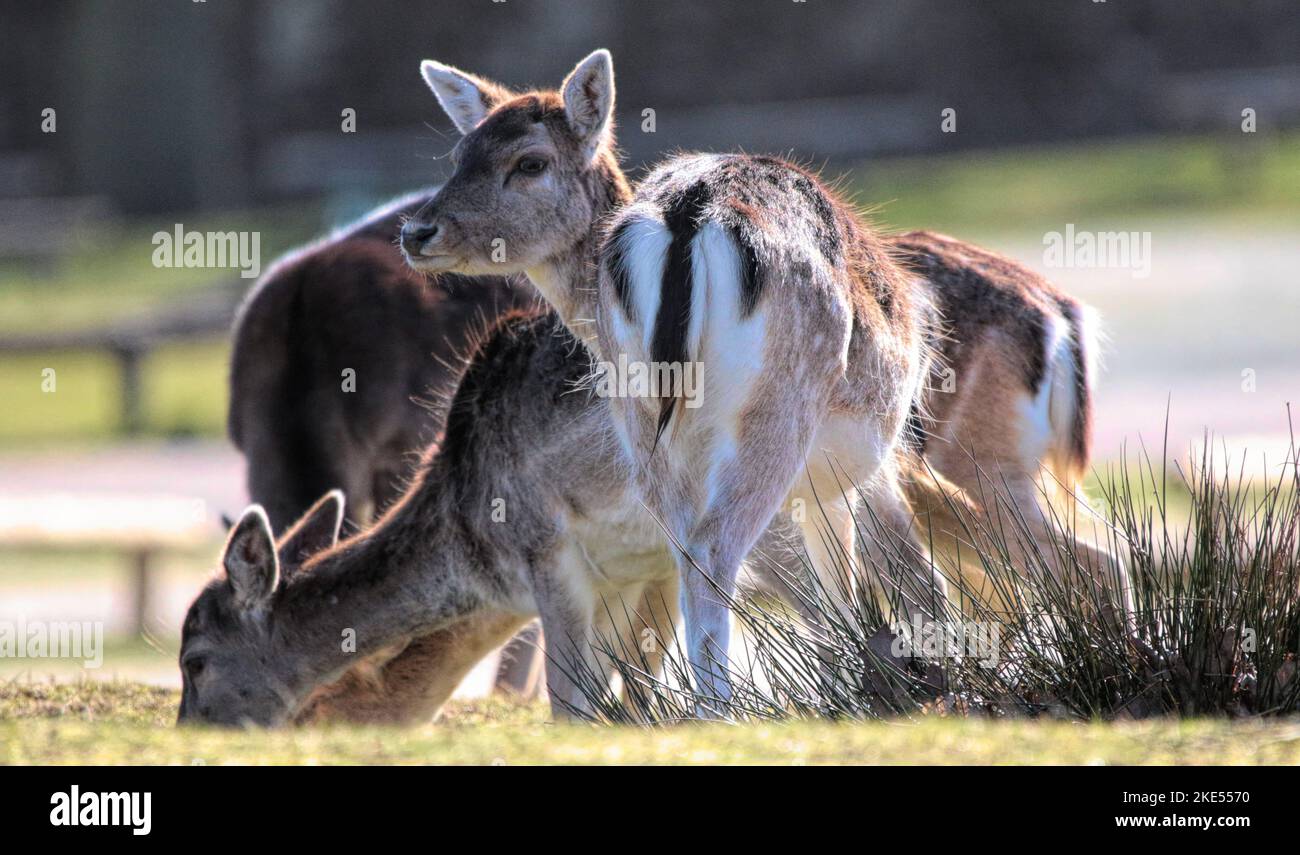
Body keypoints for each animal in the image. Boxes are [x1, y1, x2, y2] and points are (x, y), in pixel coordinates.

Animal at [405, 48, 1128, 706]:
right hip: (820, 426)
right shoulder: (866, 470)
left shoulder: (864, 474)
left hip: (672, 427)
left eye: (529, 161)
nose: (416, 230)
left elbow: (874, 597)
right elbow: (885, 595)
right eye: (459, 153)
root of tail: (1063, 315)